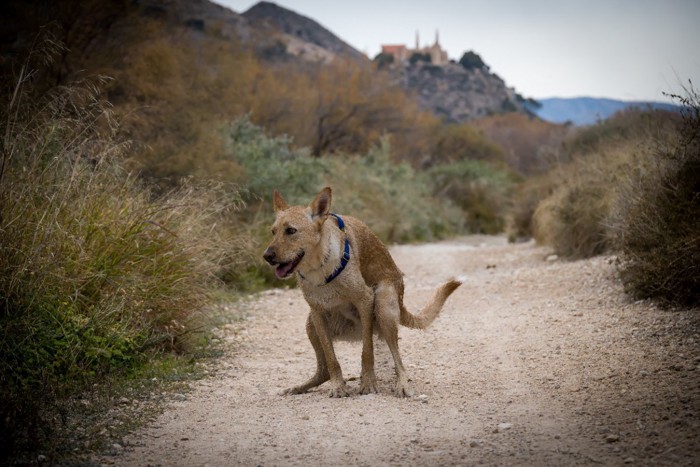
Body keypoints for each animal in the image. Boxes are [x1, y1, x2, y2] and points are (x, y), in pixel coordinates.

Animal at [262, 187, 460, 398]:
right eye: (273, 231)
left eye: (291, 231)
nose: (267, 256)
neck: (320, 269)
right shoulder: (317, 313)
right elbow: (332, 359)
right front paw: (338, 386)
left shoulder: (365, 301)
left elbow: (367, 352)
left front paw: (368, 384)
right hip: (310, 325)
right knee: (323, 370)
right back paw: (300, 387)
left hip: (383, 307)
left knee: (398, 360)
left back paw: (402, 384)